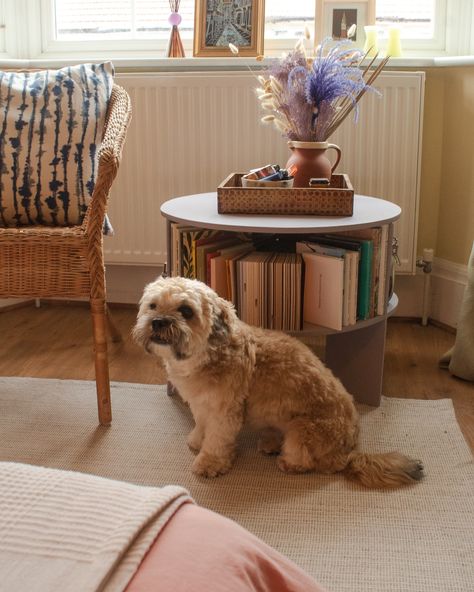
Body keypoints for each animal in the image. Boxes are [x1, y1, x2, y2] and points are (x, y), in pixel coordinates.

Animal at [132, 276, 422, 488]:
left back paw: (288, 462)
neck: (207, 353)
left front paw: (209, 463)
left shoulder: (225, 412)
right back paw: (270, 442)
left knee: (315, 464)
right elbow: (201, 427)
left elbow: (216, 441)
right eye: (152, 305)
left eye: (186, 310)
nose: (158, 322)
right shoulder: (202, 405)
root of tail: (350, 451)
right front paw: (196, 440)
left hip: (303, 431)